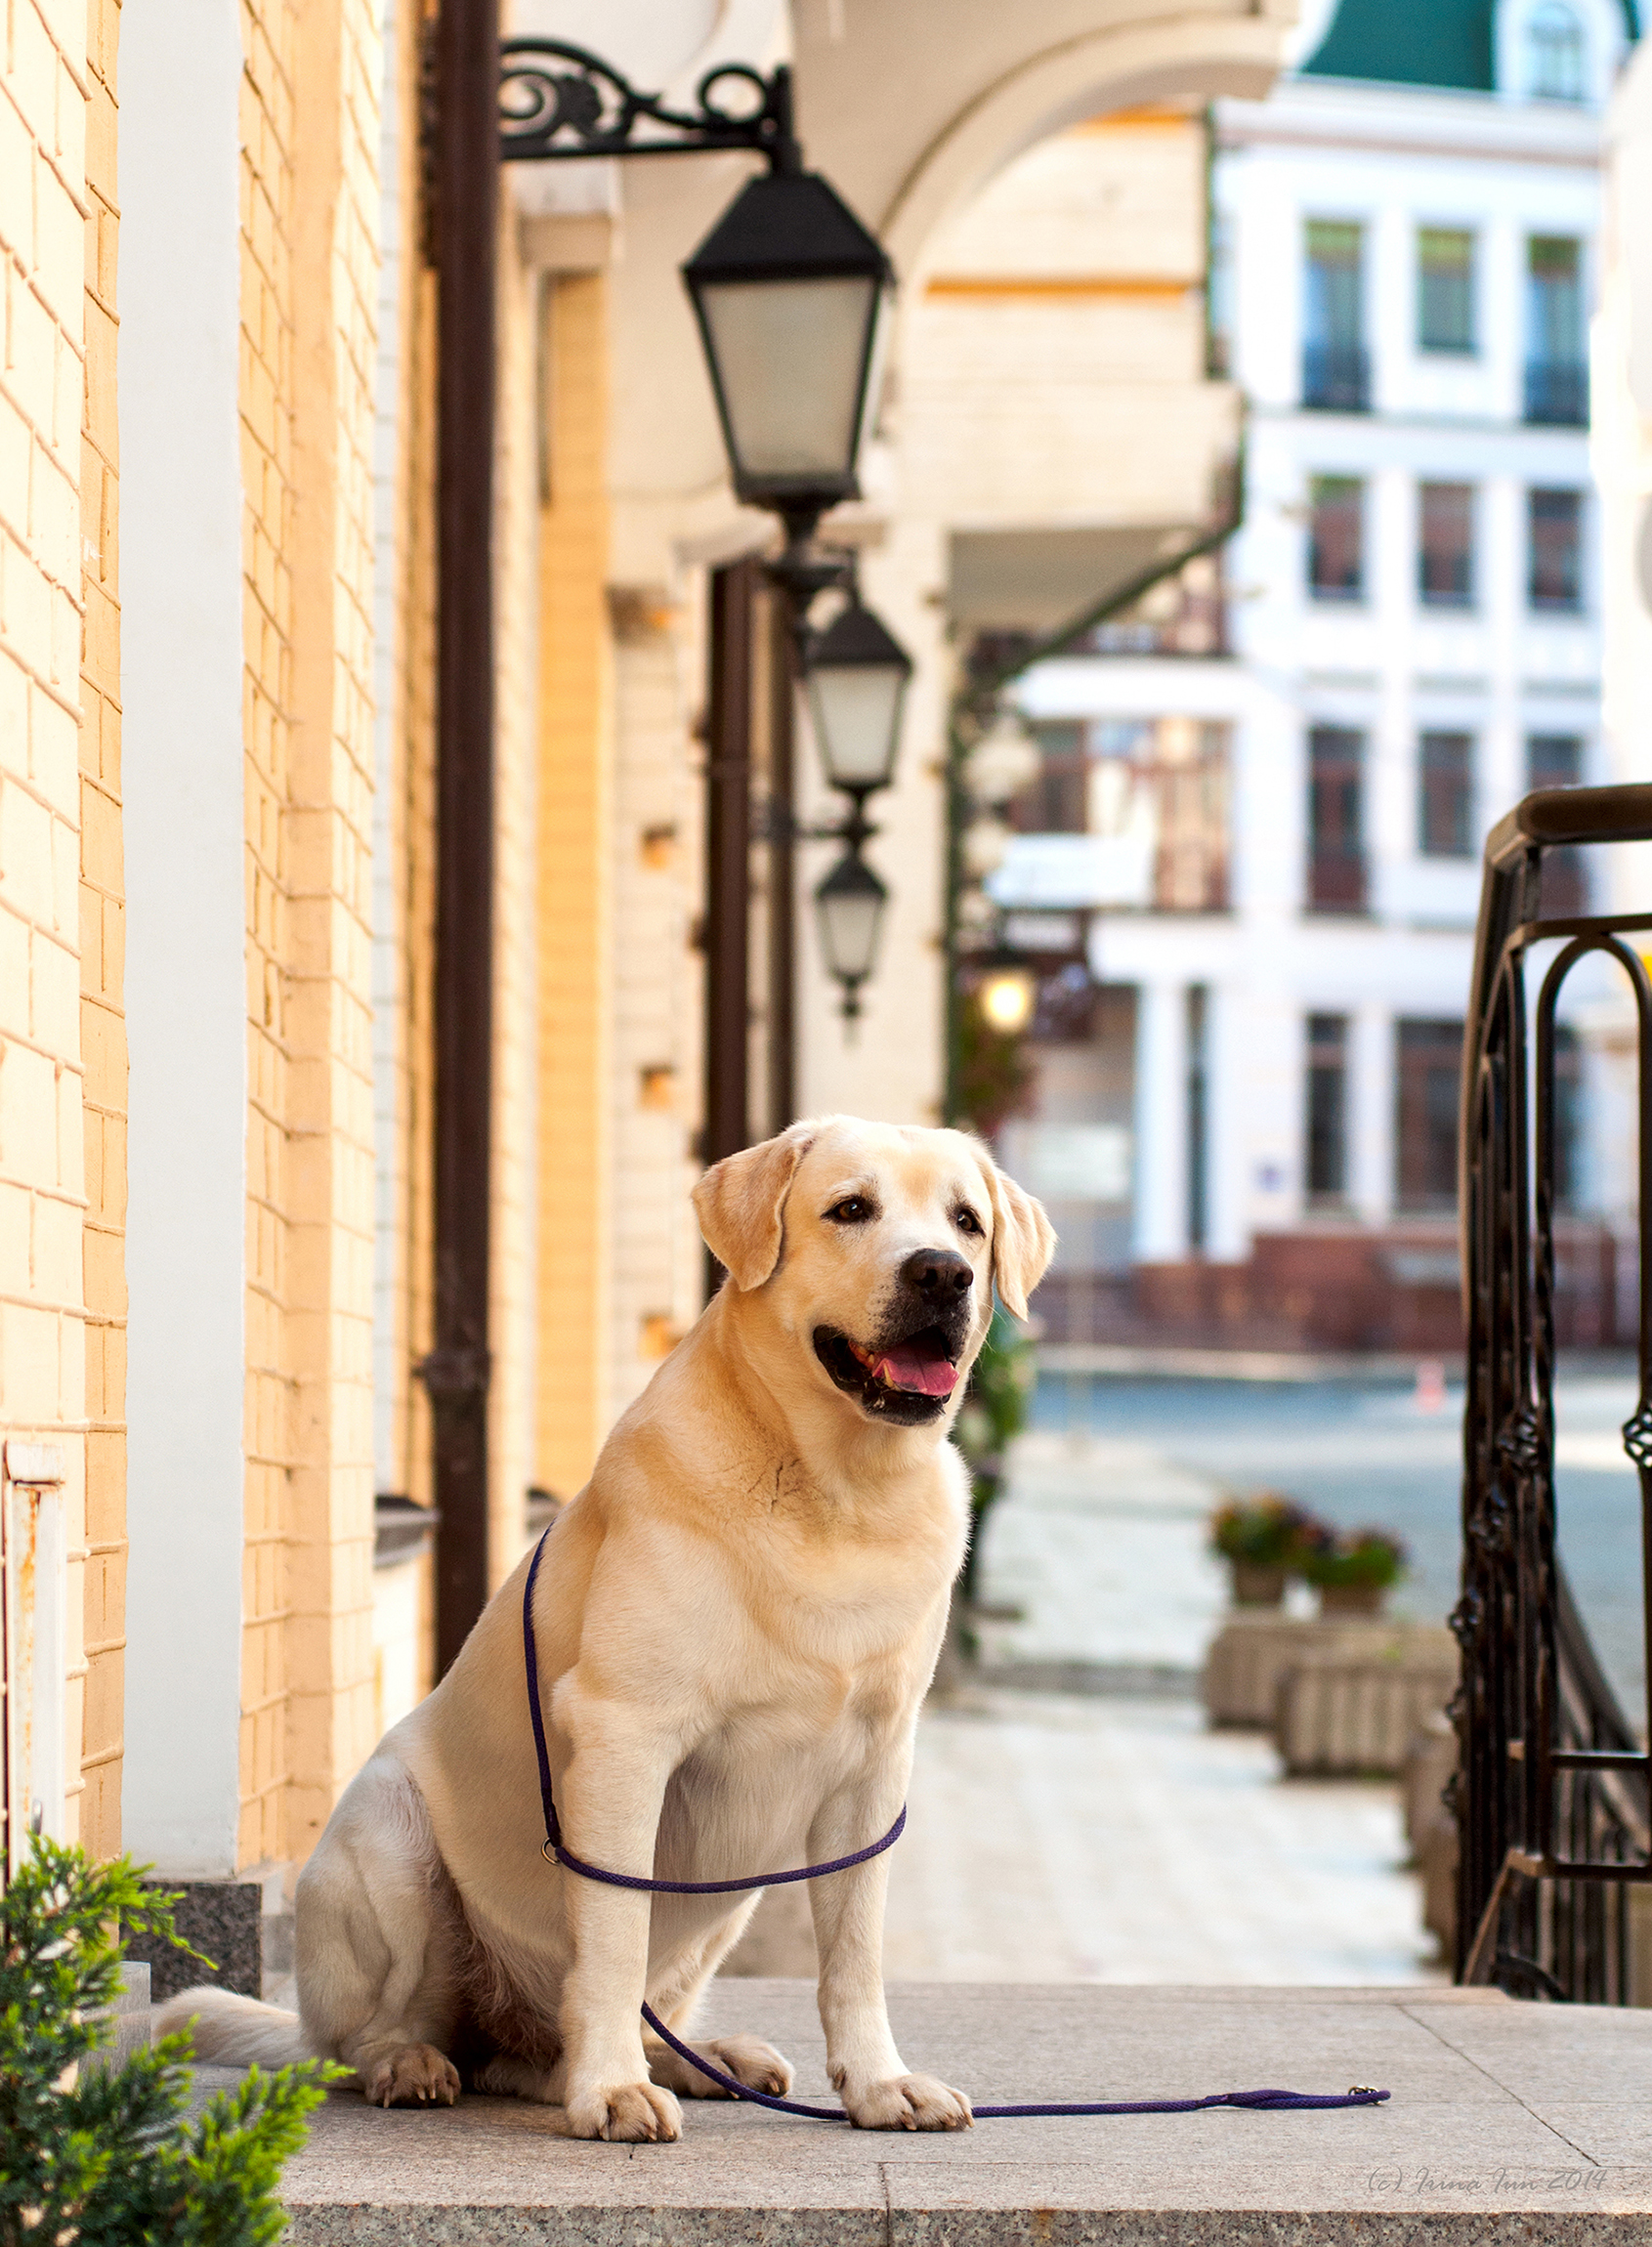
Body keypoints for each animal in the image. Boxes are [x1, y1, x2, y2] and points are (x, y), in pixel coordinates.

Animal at [161, 1119, 1051, 2139]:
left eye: (967, 1221)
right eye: (850, 1208)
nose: (943, 1273)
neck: (838, 1496)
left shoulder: (874, 1773)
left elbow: (852, 1957)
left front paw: (877, 2084)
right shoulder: (626, 1736)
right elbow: (615, 1938)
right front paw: (613, 2089)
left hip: (731, 1903)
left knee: (592, 2035)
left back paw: (700, 2059)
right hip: (386, 1839)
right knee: (368, 2039)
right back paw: (420, 2065)